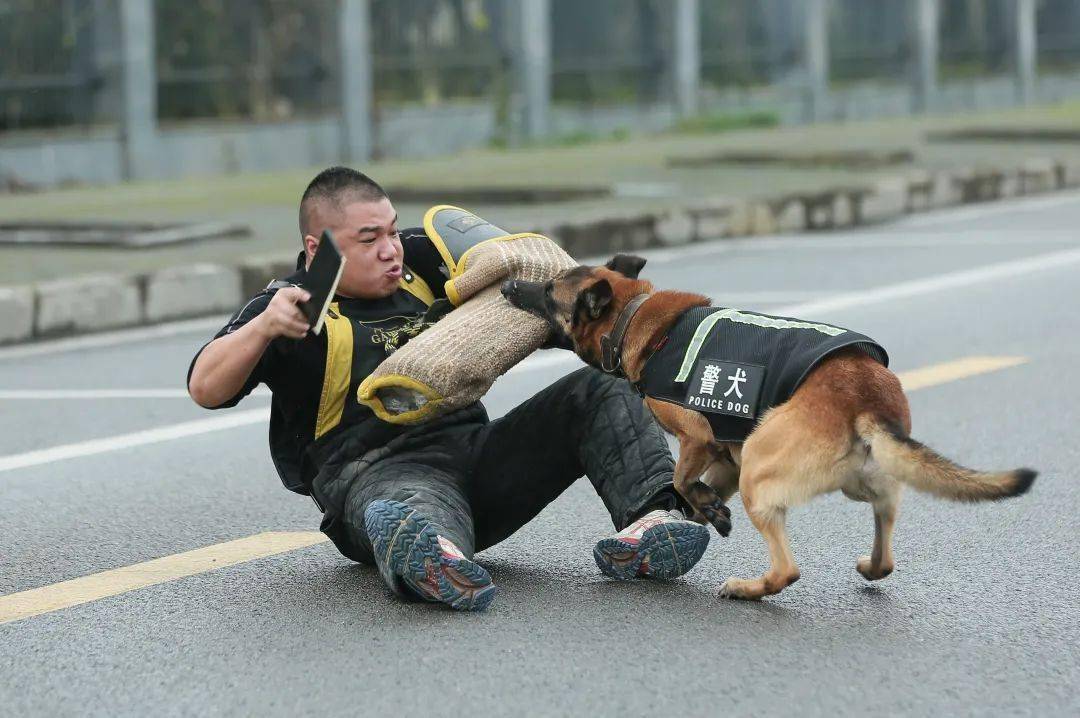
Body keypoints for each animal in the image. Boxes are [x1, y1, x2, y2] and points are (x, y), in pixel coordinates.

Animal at [501, 254, 1032, 600]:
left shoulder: (698, 440)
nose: (507, 288)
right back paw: (866, 564)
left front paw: (702, 509)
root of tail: (865, 396)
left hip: (760, 468)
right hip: (862, 485)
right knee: (884, 556)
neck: (634, 318)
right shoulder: (725, 457)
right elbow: (695, 490)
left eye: (548, 291)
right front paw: (705, 512)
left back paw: (748, 588)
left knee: (788, 570)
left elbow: (680, 479)